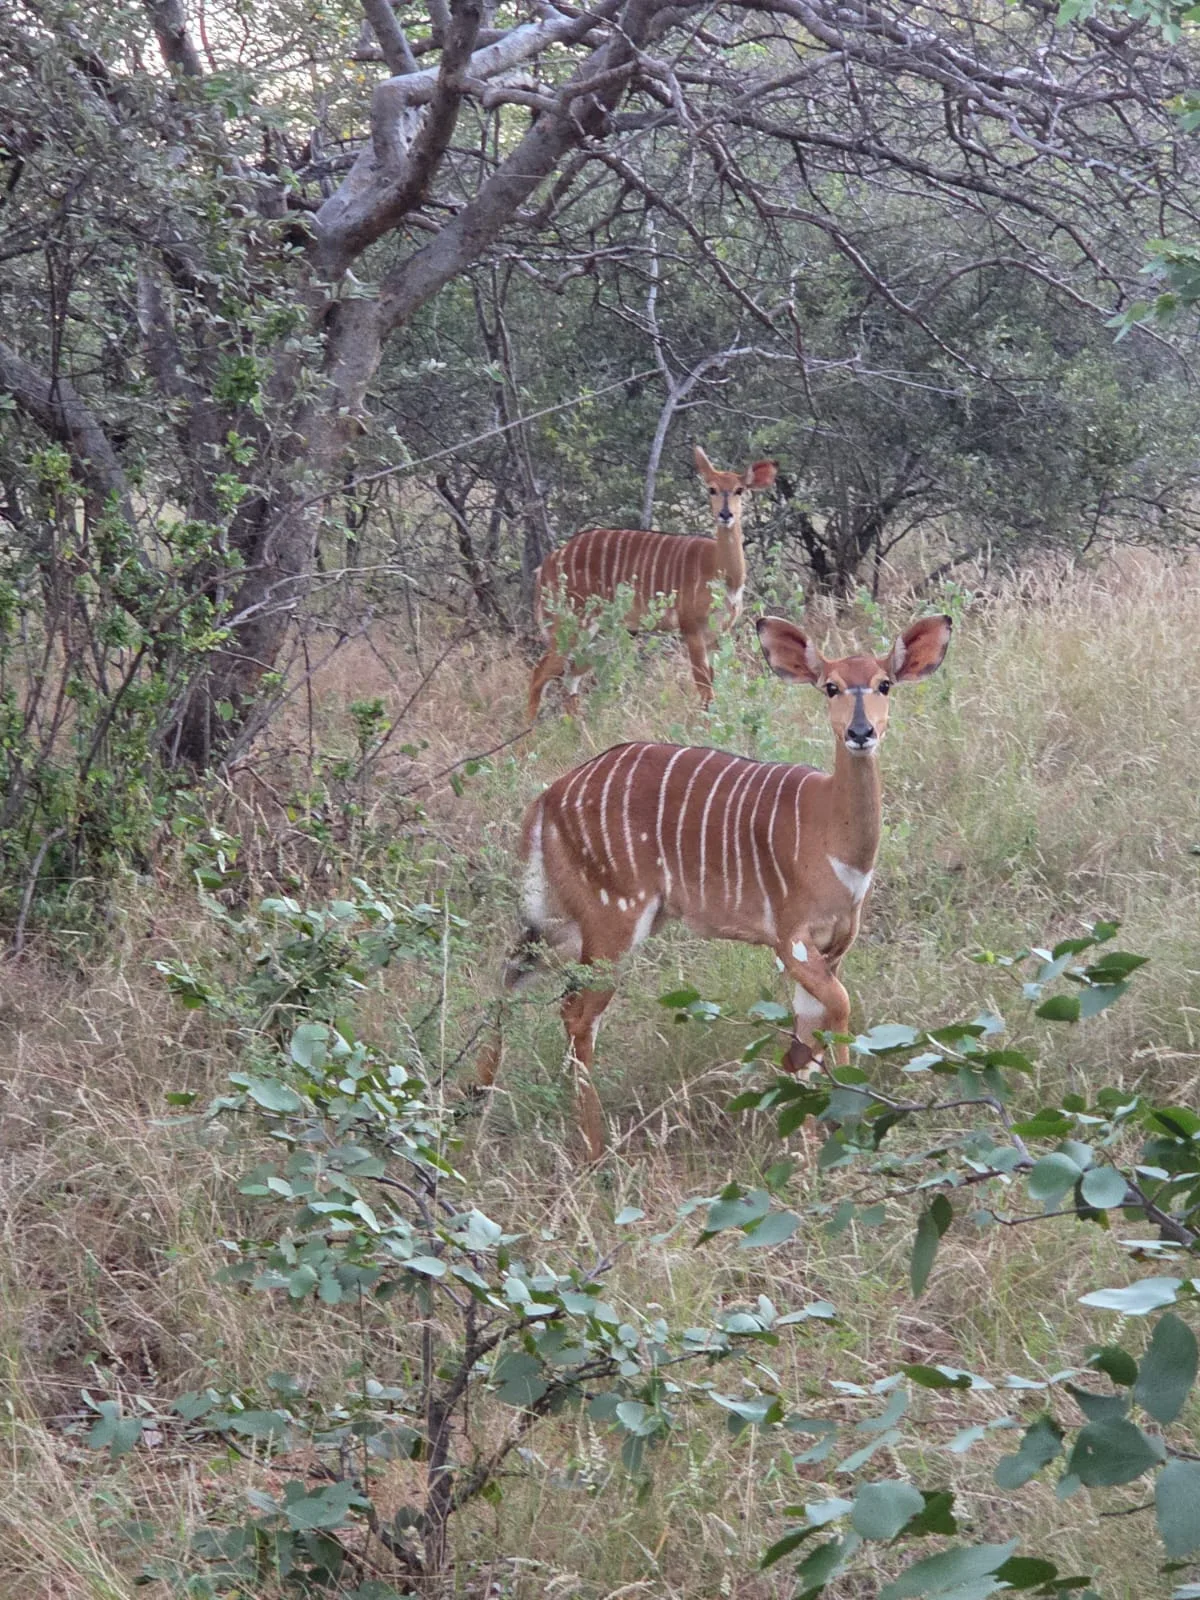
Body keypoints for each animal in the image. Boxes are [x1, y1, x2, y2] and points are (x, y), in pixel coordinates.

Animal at [482, 613, 952, 1161]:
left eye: (884, 684)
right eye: (831, 687)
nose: (861, 731)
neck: (833, 838)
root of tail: (547, 800)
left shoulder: (834, 945)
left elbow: (806, 1033)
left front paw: (809, 1150)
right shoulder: (789, 939)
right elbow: (836, 1009)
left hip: (569, 921)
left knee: (512, 975)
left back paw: (475, 1102)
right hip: (613, 918)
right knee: (576, 1014)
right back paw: (597, 1152)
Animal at [526, 447, 778, 720]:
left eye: (739, 489)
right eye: (711, 488)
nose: (725, 514)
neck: (722, 573)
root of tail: (545, 566)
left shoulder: (716, 634)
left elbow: (711, 685)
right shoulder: (691, 628)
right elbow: (705, 689)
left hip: (604, 632)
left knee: (571, 677)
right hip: (570, 623)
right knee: (539, 675)